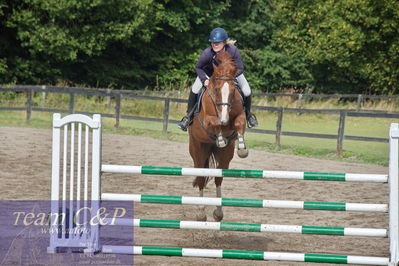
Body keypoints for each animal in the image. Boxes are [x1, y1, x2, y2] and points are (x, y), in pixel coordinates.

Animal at [188, 51, 250, 221]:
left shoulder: (239, 116)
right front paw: (221, 138)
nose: (224, 119)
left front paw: (242, 148)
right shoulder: (208, 120)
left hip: (225, 156)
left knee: (218, 178)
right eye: (216, 89)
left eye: (233, 91)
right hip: (198, 150)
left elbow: (239, 124)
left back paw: (218, 212)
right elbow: (214, 123)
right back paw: (201, 212)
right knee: (201, 178)